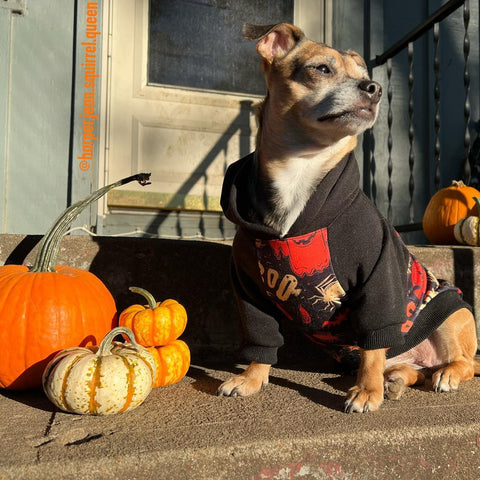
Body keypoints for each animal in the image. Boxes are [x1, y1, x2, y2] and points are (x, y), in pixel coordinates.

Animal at [218, 23, 480, 412]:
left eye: (365, 76)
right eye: (321, 69)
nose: (375, 88)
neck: (300, 172)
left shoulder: (378, 278)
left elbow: (373, 345)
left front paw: (366, 391)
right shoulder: (249, 289)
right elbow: (261, 334)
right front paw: (251, 377)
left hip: (451, 313)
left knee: (459, 362)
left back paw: (441, 375)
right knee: (409, 370)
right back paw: (396, 380)